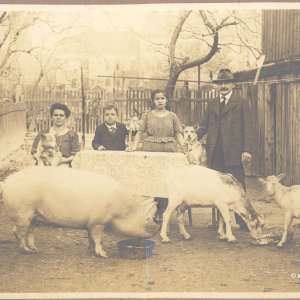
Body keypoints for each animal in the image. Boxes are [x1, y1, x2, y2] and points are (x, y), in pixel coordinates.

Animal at [0, 166, 158, 258]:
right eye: (145, 220)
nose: (151, 234)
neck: (120, 210)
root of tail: (7, 182)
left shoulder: (91, 223)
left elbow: (90, 238)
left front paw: (90, 250)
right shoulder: (98, 221)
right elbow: (98, 238)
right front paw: (104, 255)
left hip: (34, 216)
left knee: (30, 231)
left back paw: (35, 249)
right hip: (23, 214)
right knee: (17, 231)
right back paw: (26, 251)